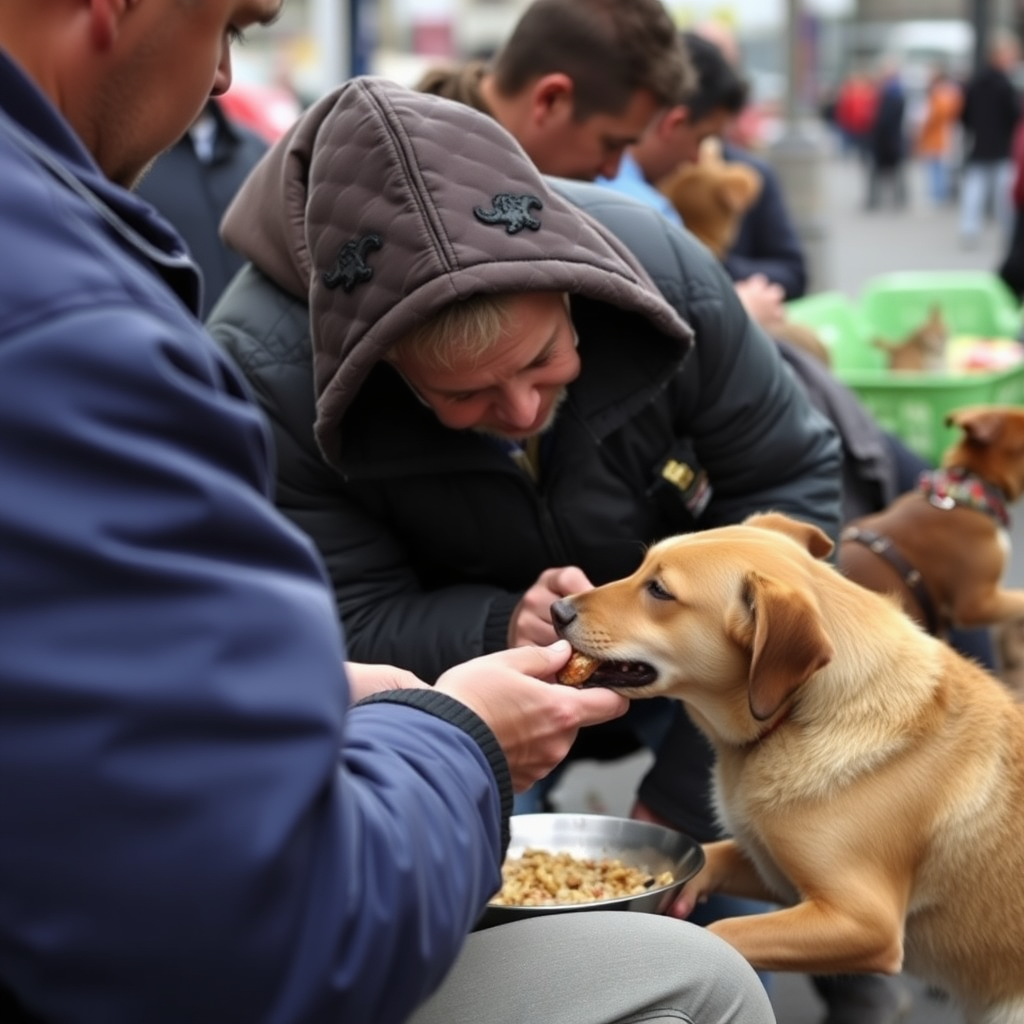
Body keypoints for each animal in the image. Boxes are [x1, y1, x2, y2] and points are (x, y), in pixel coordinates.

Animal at [552, 516, 1024, 1019]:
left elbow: (722, 934)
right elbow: (712, 856)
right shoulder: (774, 872)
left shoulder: (863, 923)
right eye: (640, 569)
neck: (797, 714)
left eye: (659, 590)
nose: (555, 608)